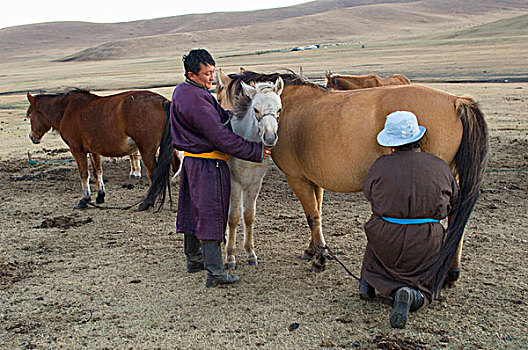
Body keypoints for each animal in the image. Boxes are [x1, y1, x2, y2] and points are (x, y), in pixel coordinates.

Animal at [26, 89, 179, 208]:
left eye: (29, 115)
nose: (32, 137)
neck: (66, 110)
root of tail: (163, 102)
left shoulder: (77, 150)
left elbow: (84, 174)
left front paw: (85, 199)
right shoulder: (94, 151)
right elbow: (97, 171)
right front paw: (100, 196)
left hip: (147, 150)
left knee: (154, 174)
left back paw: (147, 202)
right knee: (176, 166)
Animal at [217, 70, 488, 296]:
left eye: (279, 110)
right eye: (255, 110)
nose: (270, 137)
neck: (293, 107)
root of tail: (457, 101)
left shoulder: (297, 179)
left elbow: (312, 217)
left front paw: (319, 258)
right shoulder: (314, 180)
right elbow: (317, 214)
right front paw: (313, 250)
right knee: (456, 219)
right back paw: (451, 273)